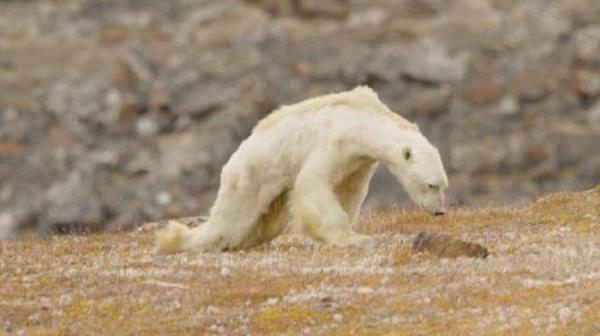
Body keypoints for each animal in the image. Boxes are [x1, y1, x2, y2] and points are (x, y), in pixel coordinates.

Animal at [157, 85, 448, 253]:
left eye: (443, 185)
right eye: (431, 185)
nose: (439, 211)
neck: (362, 120)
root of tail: (232, 160)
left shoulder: (359, 161)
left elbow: (348, 192)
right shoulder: (334, 141)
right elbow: (313, 184)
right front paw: (351, 239)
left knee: (263, 225)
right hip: (250, 177)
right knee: (230, 222)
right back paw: (175, 241)